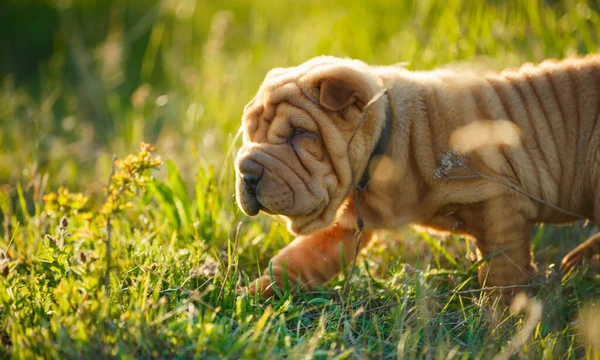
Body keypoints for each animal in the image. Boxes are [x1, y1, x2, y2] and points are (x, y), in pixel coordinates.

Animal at [233, 54, 600, 296]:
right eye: (250, 133)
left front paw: (503, 322)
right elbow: (294, 262)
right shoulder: (344, 227)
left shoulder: (499, 206)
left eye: (300, 134)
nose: (247, 172)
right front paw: (248, 300)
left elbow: (504, 273)